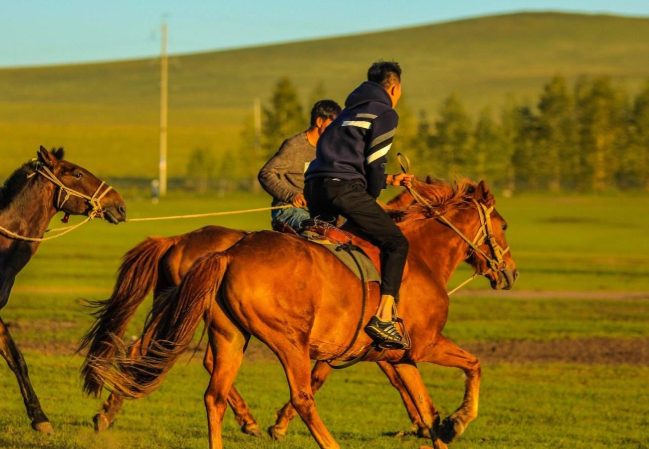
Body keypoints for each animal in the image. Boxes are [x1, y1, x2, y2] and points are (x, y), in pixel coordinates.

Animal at [90, 177, 516, 446]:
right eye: (504, 225)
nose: (510, 272)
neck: (421, 253)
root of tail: (222, 252)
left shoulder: (400, 354)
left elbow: (426, 408)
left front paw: (434, 427)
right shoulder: (425, 345)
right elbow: (474, 365)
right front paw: (459, 421)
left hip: (226, 333)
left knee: (210, 391)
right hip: (287, 340)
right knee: (302, 397)